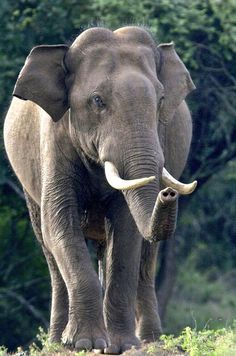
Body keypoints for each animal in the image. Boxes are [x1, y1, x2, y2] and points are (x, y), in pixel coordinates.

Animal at [3, 26, 196, 354]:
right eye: (97, 100)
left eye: (160, 100)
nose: (168, 193)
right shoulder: (54, 141)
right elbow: (60, 224)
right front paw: (84, 343)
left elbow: (127, 232)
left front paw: (120, 346)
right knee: (49, 249)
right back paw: (58, 343)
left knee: (146, 255)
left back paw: (150, 341)